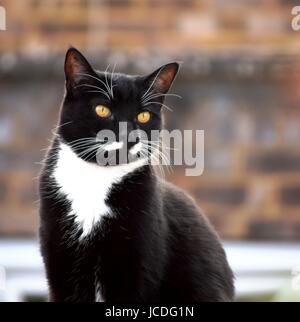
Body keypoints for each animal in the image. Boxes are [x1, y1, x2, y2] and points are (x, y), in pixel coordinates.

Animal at [38, 47, 234, 302]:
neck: (97, 179)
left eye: (143, 116)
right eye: (102, 110)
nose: (130, 136)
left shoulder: (136, 262)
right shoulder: (60, 261)